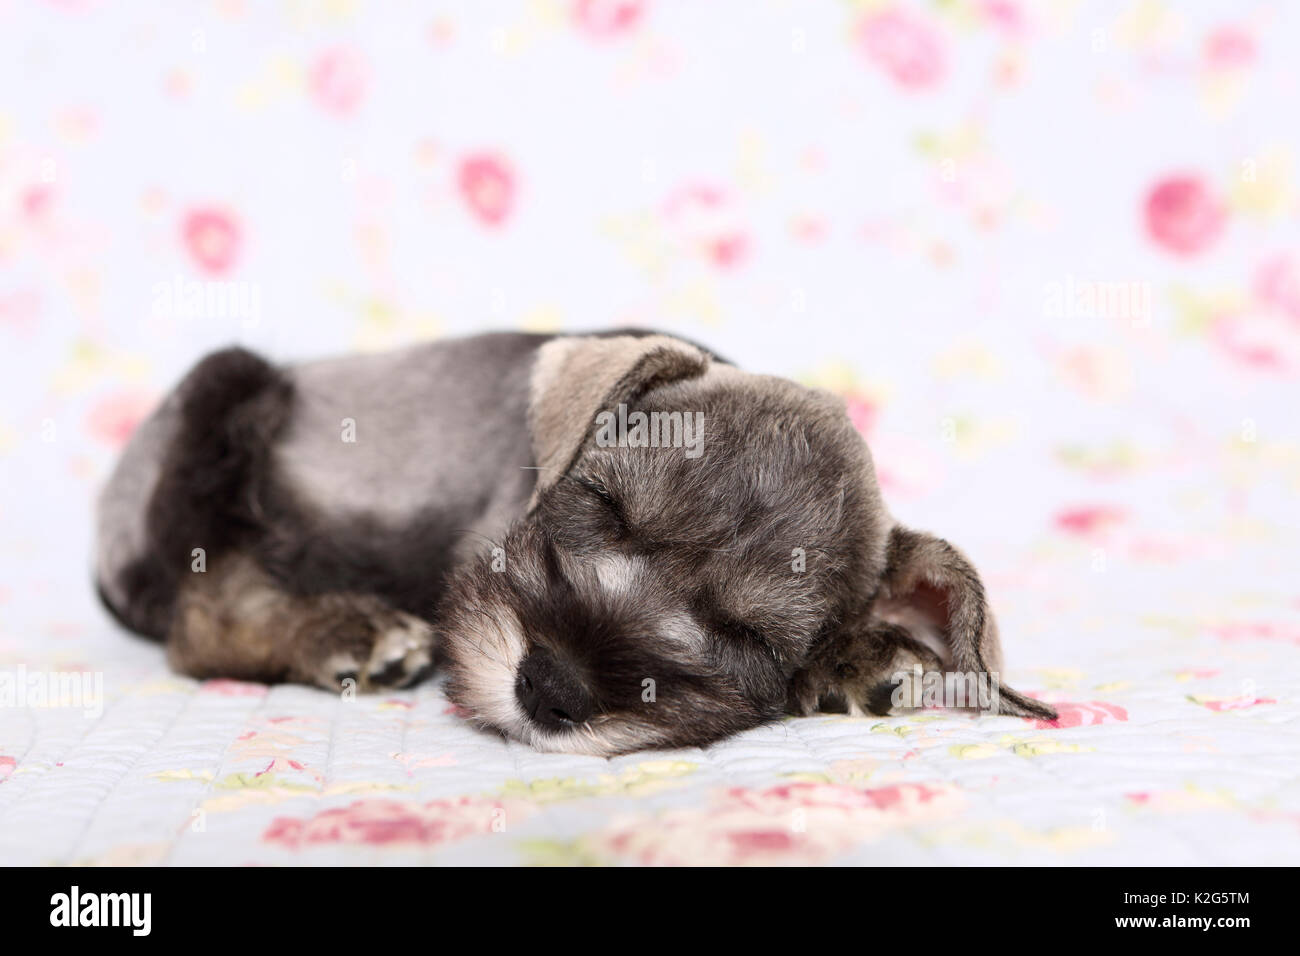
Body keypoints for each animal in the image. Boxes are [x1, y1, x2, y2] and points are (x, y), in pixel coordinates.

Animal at [101, 329, 1055, 754]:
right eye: (601, 507)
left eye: (745, 636)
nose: (550, 690)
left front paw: (866, 658)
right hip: (227, 392)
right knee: (203, 613)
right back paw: (346, 631)